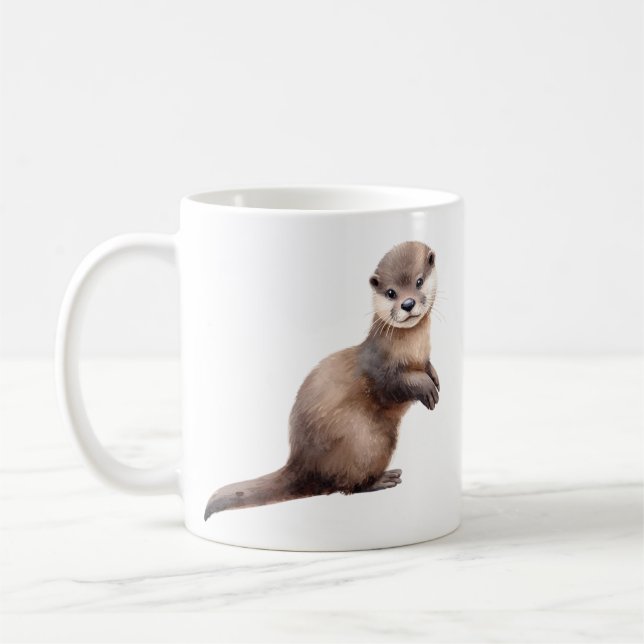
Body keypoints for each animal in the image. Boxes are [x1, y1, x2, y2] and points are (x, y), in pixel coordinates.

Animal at [204, 241, 440, 520]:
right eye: (391, 292)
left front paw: (434, 377)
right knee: (347, 485)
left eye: (419, 281)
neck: (411, 352)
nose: (408, 303)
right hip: (368, 441)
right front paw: (426, 387)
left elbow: (427, 368)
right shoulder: (381, 368)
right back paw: (381, 479)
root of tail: (301, 463)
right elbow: (396, 384)